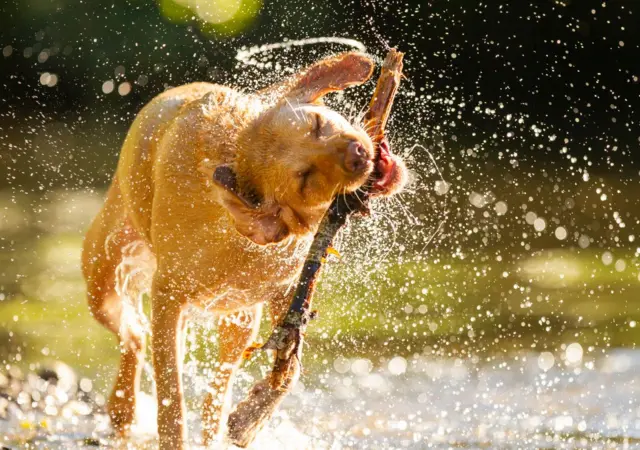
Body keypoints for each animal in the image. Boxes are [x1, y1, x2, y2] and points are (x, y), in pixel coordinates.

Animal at [82, 51, 408, 448]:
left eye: (318, 124)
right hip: (103, 284)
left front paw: (251, 416)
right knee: (134, 336)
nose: (359, 153)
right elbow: (172, 399)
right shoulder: (168, 299)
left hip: (240, 324)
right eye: (305, 178)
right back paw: (123, 408)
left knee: (214, 390)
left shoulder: (287, 294)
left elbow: (288, 369)